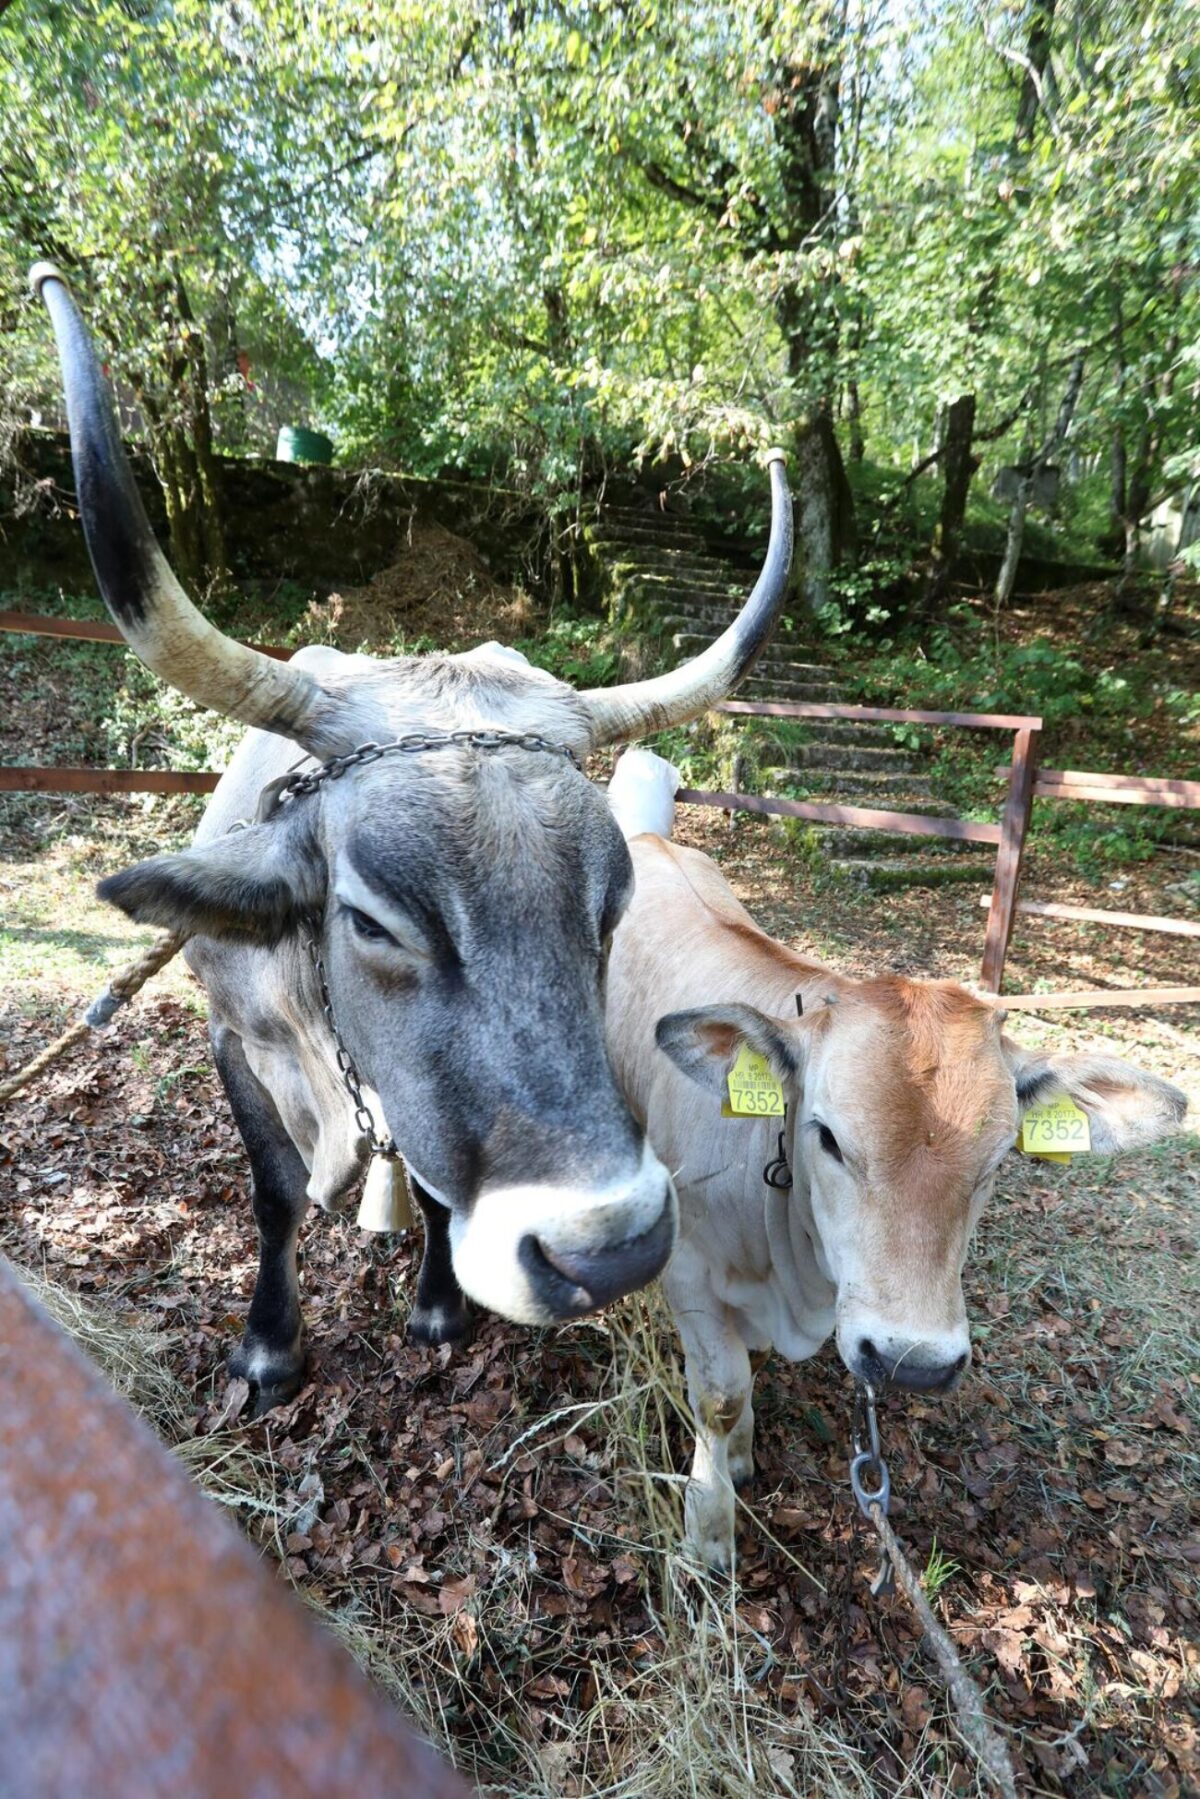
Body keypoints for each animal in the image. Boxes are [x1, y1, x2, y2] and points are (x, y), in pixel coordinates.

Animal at [32, 260, 791, 1410]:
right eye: (370, 920)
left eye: (609, 910)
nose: (609, 1250)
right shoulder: (230, 1042)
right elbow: (273, 1196)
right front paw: (268, 1345)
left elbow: (433, 1192)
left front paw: (436, 1301)